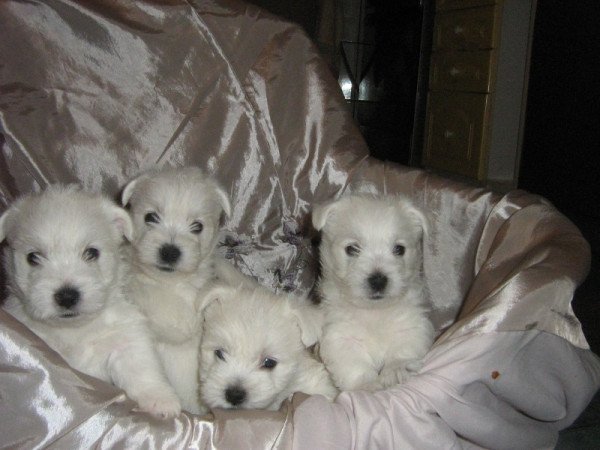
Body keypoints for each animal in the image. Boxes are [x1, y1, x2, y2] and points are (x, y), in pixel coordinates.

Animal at [1, 184, 182, 418]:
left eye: (92, 253)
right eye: (33, 257)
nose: (67, 295)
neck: (74, 329)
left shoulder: (125, 337)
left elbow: (141, 368)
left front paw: (161, 400)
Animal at [312, 195, 434, 392]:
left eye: (399, 249)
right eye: (351, 249)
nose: (378, 280)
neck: (374, 311)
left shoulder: (412, 325)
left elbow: (404, 348)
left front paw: (396, 370)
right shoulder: (340, 336)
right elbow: (354, 365)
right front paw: (367, 385)